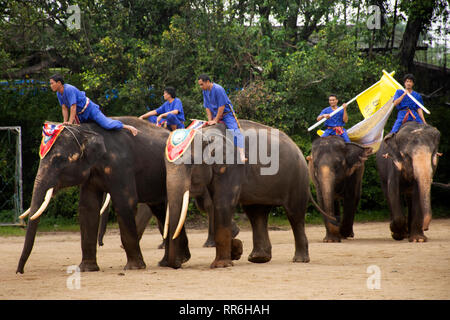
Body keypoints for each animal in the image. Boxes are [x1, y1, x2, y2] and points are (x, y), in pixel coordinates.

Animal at [16, 116, 190, 274]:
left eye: (59, 160)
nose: (20, 271)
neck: (87, 130)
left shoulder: (121, 165)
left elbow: (124, 203)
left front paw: (134, 268)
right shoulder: (91, 174)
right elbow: (88, 207)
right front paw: (86, 269)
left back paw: (174, 261)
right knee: (161, 211)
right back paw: (171, 262)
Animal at [163, 119, 336, 268]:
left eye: (191, 163)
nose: (178, 264)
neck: (206, 133)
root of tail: (299, 148)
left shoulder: (232, 166)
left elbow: (222, 204)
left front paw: (221, 265)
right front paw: (235, 249)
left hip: (297, 177)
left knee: (294, 214)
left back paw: (299, 260)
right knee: (256, 213)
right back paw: (259, 258)